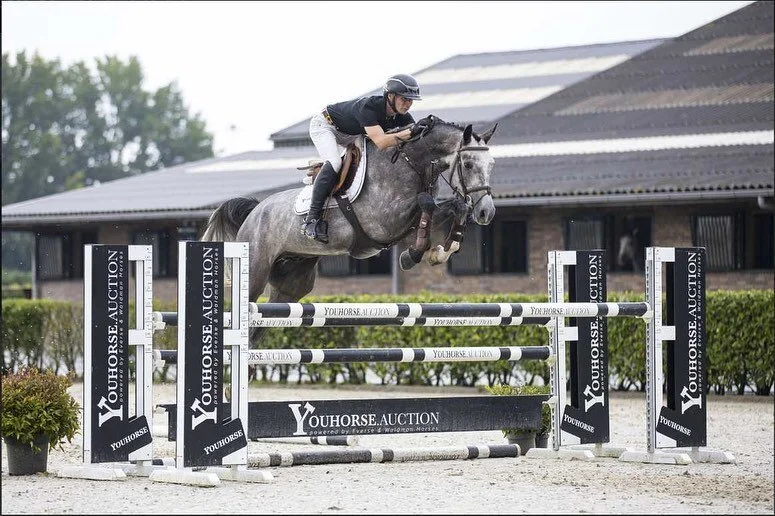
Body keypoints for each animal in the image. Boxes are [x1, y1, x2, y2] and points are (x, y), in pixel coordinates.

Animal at [202, 115, 498, 344]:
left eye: (491, 165)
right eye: (468, 164)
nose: (487, 212)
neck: (410, 161)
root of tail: (254, 212)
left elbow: (455, 207)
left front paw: (443, 250)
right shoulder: (386, 220)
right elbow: (427, 204)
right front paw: (412, 256)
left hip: (293, 282)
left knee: (262, 324)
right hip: (255, 271)